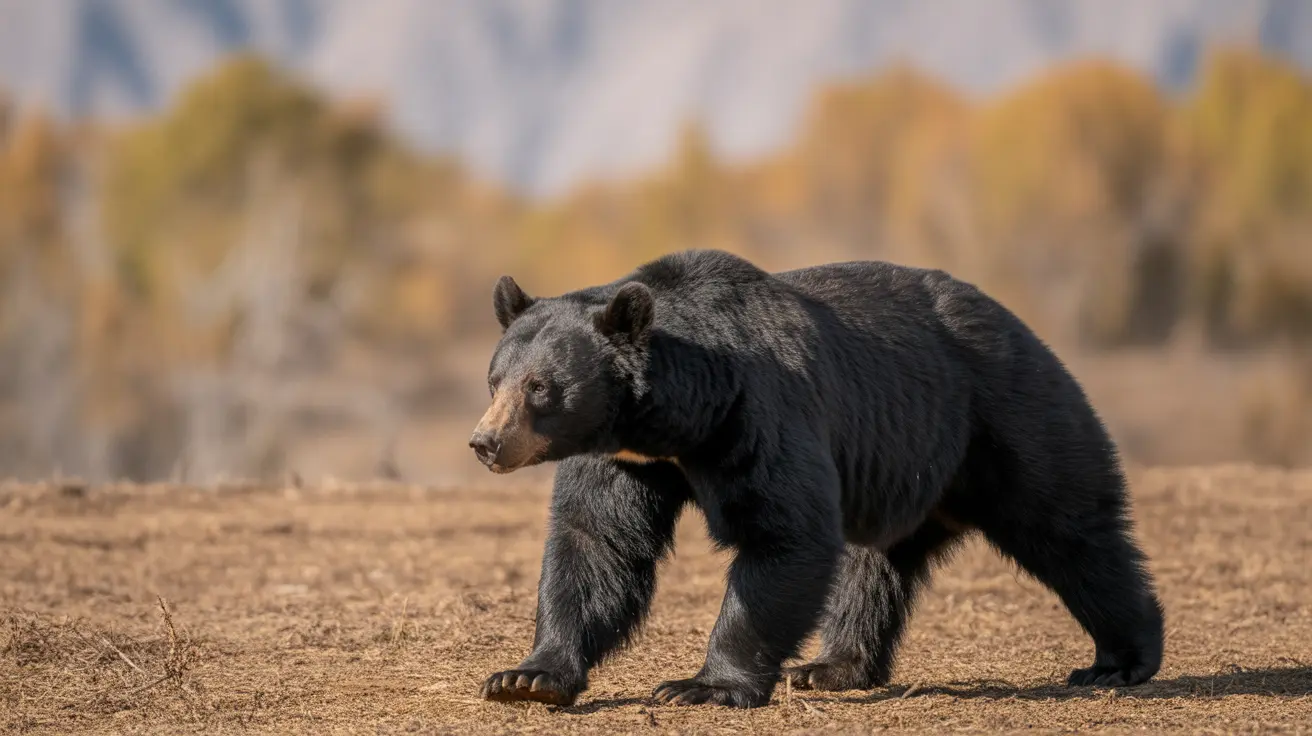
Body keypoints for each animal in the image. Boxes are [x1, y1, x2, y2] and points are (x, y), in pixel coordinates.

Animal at [469, 249, 1164, 709]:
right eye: (496, 380)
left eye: (541, 387)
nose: (485, 443)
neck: (672, 422)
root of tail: (1021, 324)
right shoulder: (623, 459)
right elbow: (596, 544)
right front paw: (525, 678)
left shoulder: (758, 414)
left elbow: (783, 533)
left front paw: (700, 685)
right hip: (900, 465)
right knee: (872, 567)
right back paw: (834, 665)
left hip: (1009, 414)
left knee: (1068, 527)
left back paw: (1120, 659)